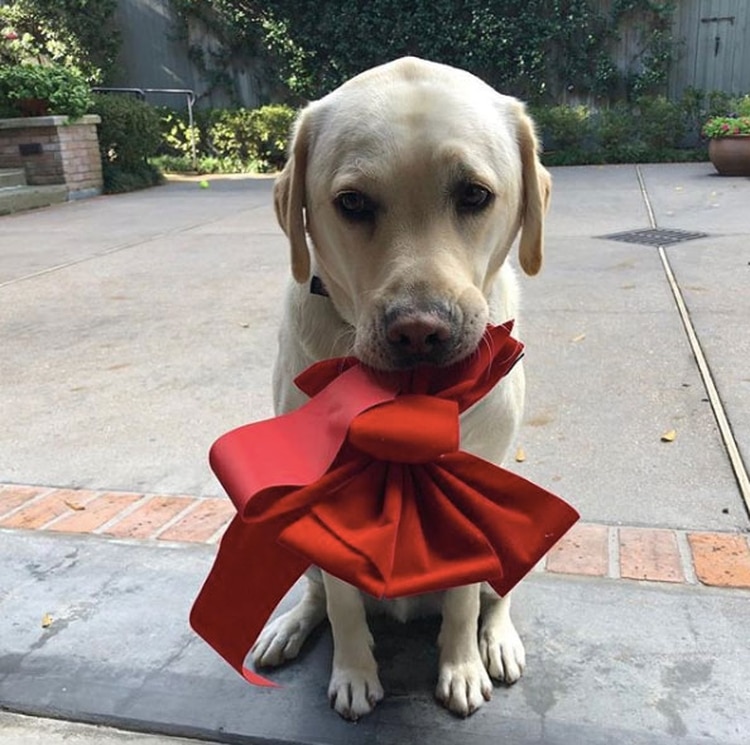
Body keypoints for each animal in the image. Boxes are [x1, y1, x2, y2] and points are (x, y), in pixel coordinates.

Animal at [253, 55, 552, 716]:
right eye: (353, 202)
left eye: (474, 194)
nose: (420, 331)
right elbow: (342, 605)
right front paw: (353, 673)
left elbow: (463, 603)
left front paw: (461, 667)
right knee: (318, 595)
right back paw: (289, 625)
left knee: (496, 597)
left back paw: (498, 641)